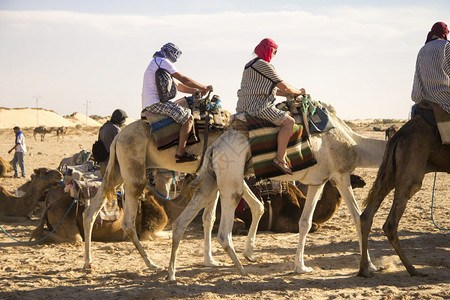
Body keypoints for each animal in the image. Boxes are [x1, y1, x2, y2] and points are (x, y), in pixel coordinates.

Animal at [166, 108, 386, 282]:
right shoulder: (340, 175)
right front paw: (371, 266)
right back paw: (243, 271)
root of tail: (213, 147)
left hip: (212, 179)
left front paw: (301, 267)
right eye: (356, 177)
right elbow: (358, 218)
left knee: (182, 221)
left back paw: (172, 274)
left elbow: (305, 223)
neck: (355, 145)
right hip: (230, 177)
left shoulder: (317, 182)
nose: (363, 181)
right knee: (223, 231)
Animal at [358, 113, 450, 278]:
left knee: (366, 216)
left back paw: (364, 270)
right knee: (390, 224)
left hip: (390, 170)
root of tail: (399, 135)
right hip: (411, 171)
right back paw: (413, 269)